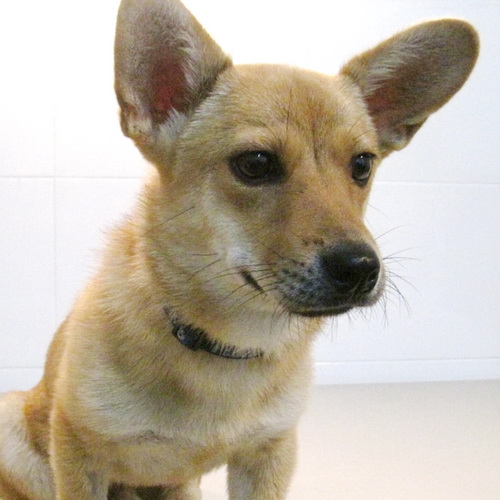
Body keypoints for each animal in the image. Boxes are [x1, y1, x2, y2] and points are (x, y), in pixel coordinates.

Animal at [0, 1, 478, 498]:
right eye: (256, 164)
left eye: (362, 165)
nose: (361, 268)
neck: (227, 344)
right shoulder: (78, 450)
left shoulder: (270, 452)